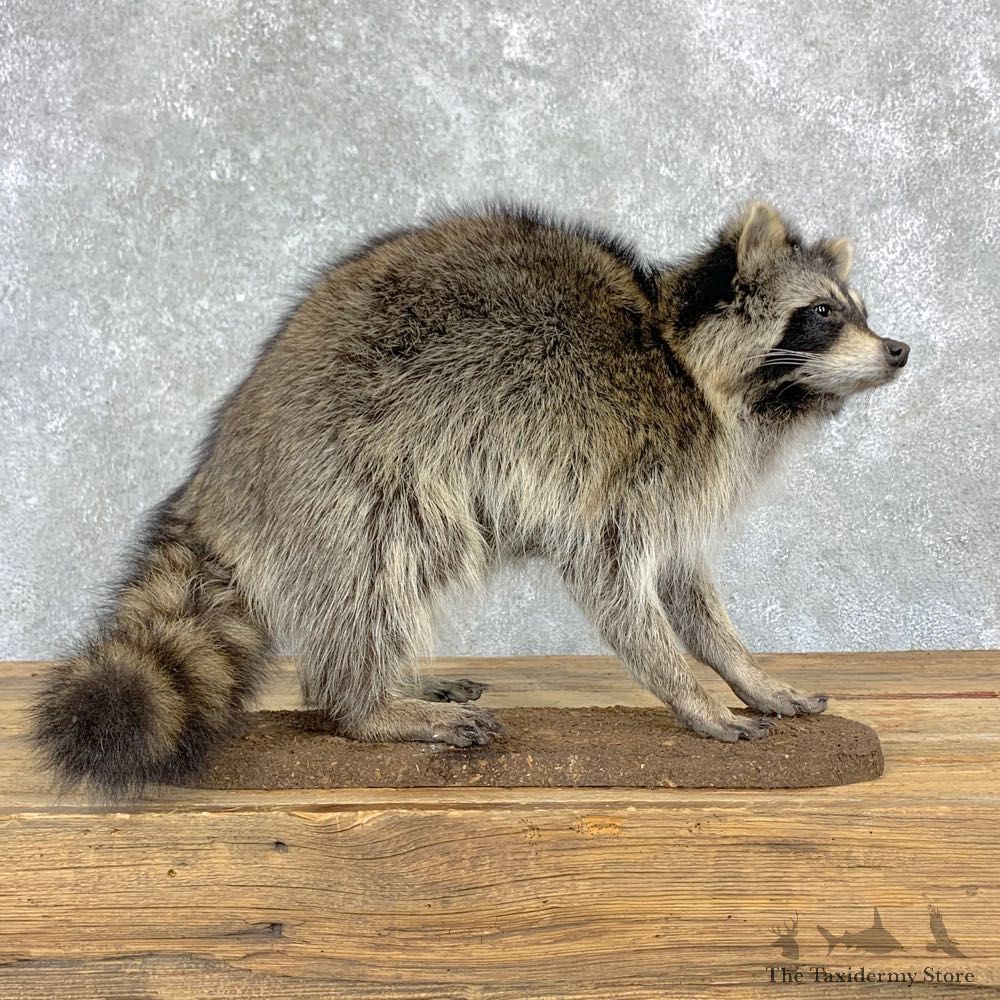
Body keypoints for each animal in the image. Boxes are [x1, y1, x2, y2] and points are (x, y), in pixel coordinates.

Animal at [29, 201, 909, 800]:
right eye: (823, 315)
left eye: (861, 311)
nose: (901, 349)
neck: (684, 360)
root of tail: (222, 470)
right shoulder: (626, 462)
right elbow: (615, 582)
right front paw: (684, 689)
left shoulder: (678, 483)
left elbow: (687, 589)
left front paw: (744, 670)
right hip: (352, 468)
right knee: (377, 570)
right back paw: (364, 703)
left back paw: (395, 682)